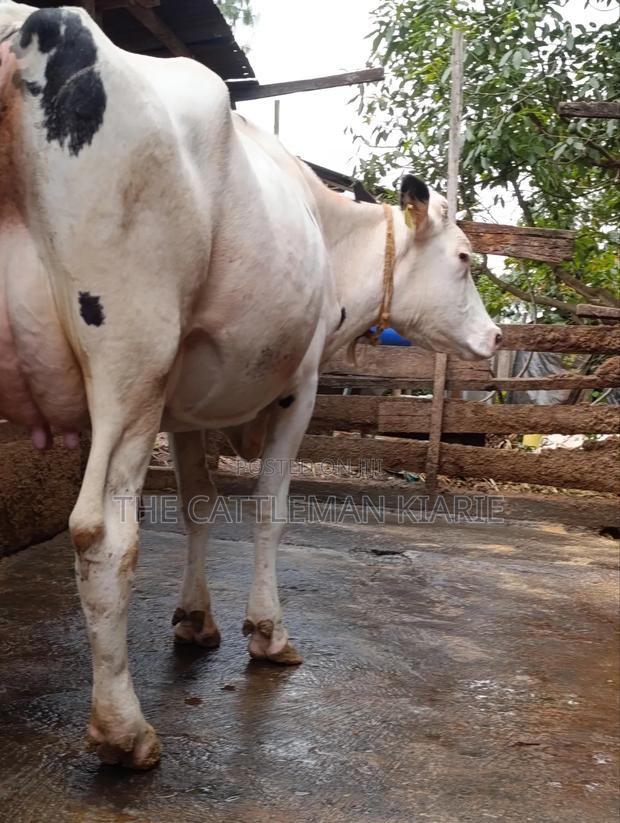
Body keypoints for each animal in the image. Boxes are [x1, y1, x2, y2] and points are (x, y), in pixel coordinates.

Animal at [0, 1, 502, 769]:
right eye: (467, 257)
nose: (498, 337)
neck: (327, 230)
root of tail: (35, 26)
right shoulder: (300, 386)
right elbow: (269, 509)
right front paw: (268, 633)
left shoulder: (185, 407)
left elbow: (199, 506)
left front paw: (193, 619)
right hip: (130, 354)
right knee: (102, 533)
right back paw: (123, 729)